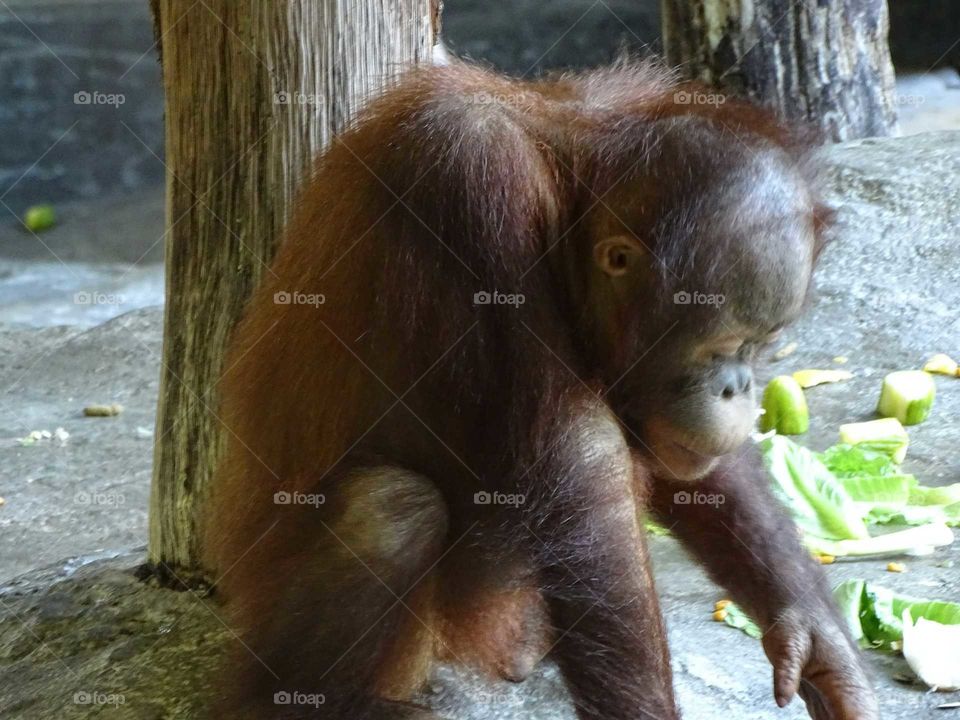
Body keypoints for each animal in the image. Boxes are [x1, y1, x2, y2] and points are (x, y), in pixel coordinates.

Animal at [205, 59, 879, 720]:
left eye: (762, 345)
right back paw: (293, 701)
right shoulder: (474, 183)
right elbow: (580, 456)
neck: (567, 194)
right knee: (391, 508)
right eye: (722, 347)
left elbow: (700, 468)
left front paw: (820, 643)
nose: (739, 387)